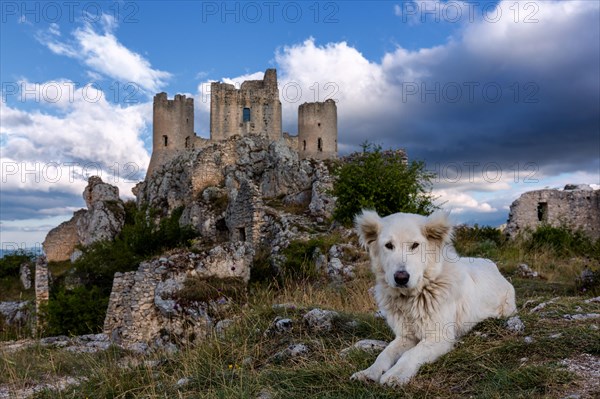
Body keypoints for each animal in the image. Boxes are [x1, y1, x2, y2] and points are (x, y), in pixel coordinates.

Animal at [352, 211, 516, 386]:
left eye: (415, 245)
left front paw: (396, 374)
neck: (413, 297)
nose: (401, 278)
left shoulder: (439, 337)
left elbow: (411, 354)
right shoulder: (404, 336)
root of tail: (491, 264)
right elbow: (384, 354)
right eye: (389, 245)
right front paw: (368, 372)